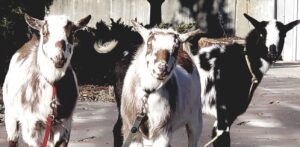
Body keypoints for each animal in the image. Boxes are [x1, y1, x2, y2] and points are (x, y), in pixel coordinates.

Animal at [2, 13, 91, 146]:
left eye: (72, 33)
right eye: (45, 33)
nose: (59, 58)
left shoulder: (65, 125)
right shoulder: (31, 127)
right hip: (10, 113)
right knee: (12, 138)